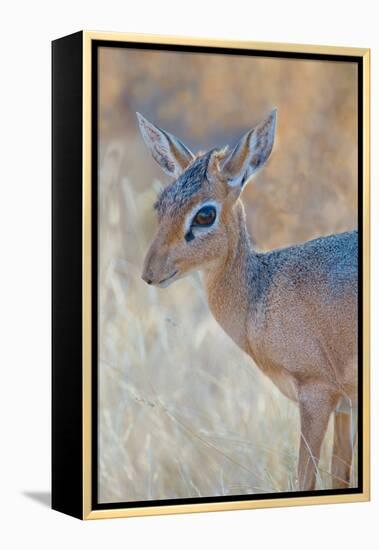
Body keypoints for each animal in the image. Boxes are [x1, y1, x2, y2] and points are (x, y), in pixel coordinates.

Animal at [138, 108, 358, 492]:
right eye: (160, 204)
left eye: (205, 214)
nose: (151, 272)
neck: (262, 292)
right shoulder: (346, 407)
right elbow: (340, 477)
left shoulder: (316, 394)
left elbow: (306, 479)